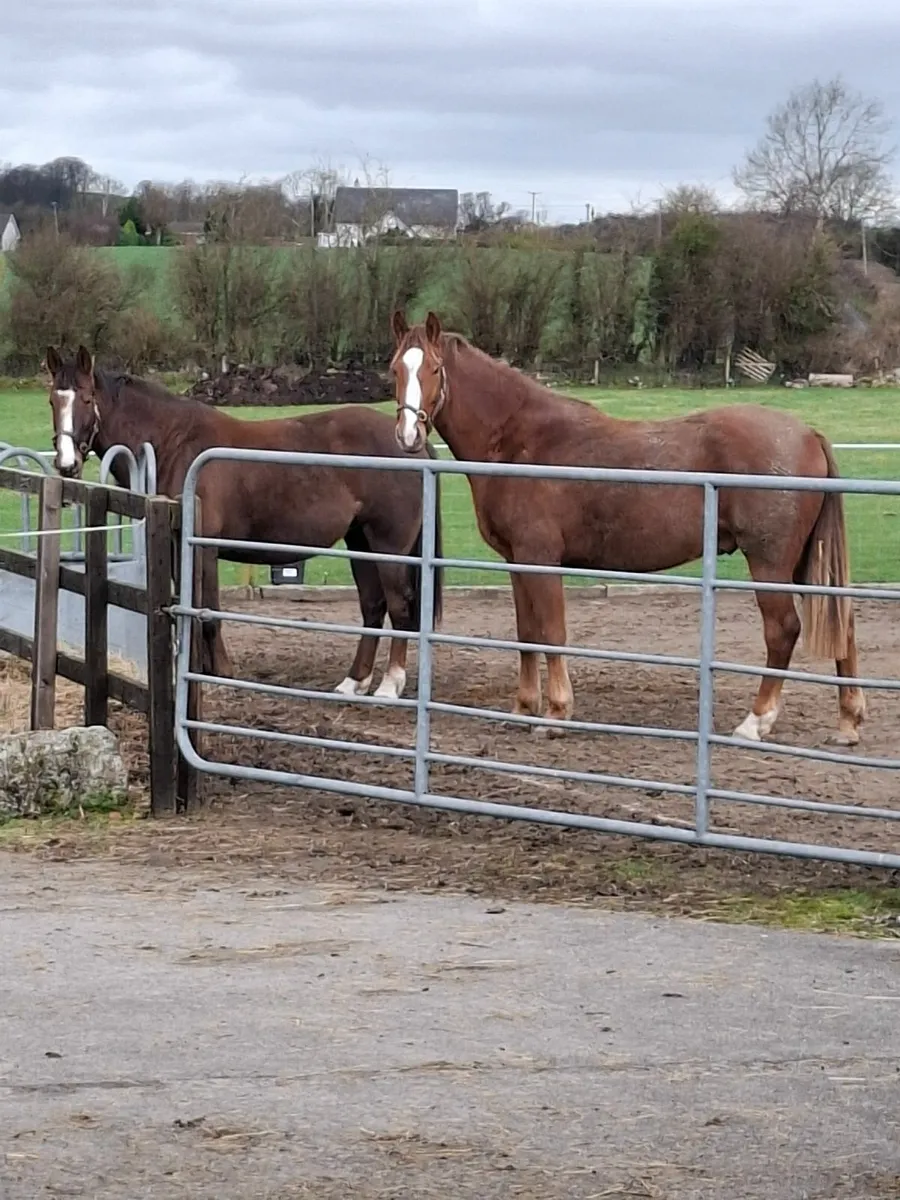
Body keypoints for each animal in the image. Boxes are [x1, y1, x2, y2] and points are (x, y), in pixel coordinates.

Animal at [44, 344, 443, 700]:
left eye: (85, 400)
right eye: (52, 401)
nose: (66, 464)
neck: (175, 443)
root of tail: (411, 443)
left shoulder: (203, 546)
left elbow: (208, 611)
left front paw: (220, 675)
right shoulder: (176, 545)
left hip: (389, 546)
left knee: (400, 607)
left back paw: (390, 686)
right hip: (360, 541)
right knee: (373, 606)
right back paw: (353, 682)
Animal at [388, 310, 866, 747]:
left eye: (434, 369)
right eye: (395, 368)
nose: (408, 435)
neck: (519, 439)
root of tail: (808, 434)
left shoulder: (541, 559)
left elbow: (553, 633)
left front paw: (557, 713)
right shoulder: (517, 562)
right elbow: (527, 634)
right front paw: (523, 709)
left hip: (769, 563)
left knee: (782, 630)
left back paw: (756, 722)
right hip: (803, 561)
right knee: (843, 623)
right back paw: (848, 720)